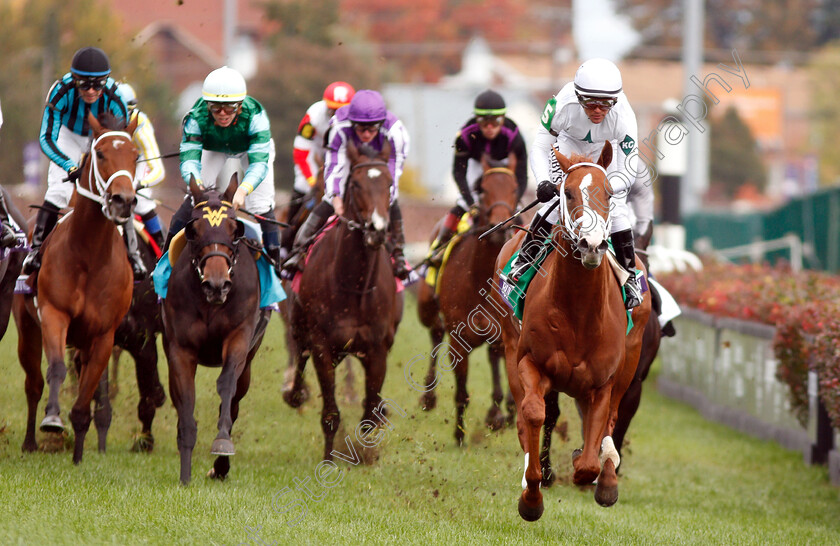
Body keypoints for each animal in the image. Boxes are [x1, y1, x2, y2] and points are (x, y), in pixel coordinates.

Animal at [12, 112, 141, 462]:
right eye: (101, 154)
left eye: (136, 155)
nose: (123, 200)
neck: (90, 254)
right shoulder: (54, 314)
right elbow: (56, 369)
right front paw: (53, 420)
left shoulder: (104, 333)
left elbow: (89, 389)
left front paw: (80, 452)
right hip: (26, 327)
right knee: (33, 383)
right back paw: (30, 441)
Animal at [162, 176, 268, 482]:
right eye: (194, 230)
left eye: (235, 229)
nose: (216, 285)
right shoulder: (180, 349)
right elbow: (186, 399)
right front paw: (185, 472)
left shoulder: (239, 337)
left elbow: (226, 386)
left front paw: (222, 443)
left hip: (249, 361)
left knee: (234, 399)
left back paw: (221, 466)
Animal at [416, 155, 520, 444]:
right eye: (482, 190)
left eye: (515, 188)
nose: (501, 227)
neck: (480, 276)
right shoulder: (458, 340)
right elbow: (461, 391)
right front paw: (460, 435)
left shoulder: (500, 333)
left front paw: (498, 416)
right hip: (426, 307)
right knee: (435, 333)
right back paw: (428, 396)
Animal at [488, 141, 652, 520]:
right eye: (567, 193)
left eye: (609, 193)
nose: (591, 244)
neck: (578, 311)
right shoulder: (530, 362)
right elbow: (534, 414)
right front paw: (532, 494)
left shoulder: (603, 382)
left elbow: (592, 455)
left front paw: (595, 468)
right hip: (510, 345)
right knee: (529, 416)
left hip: (630, 362)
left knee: (612, 422)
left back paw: (607, 476)